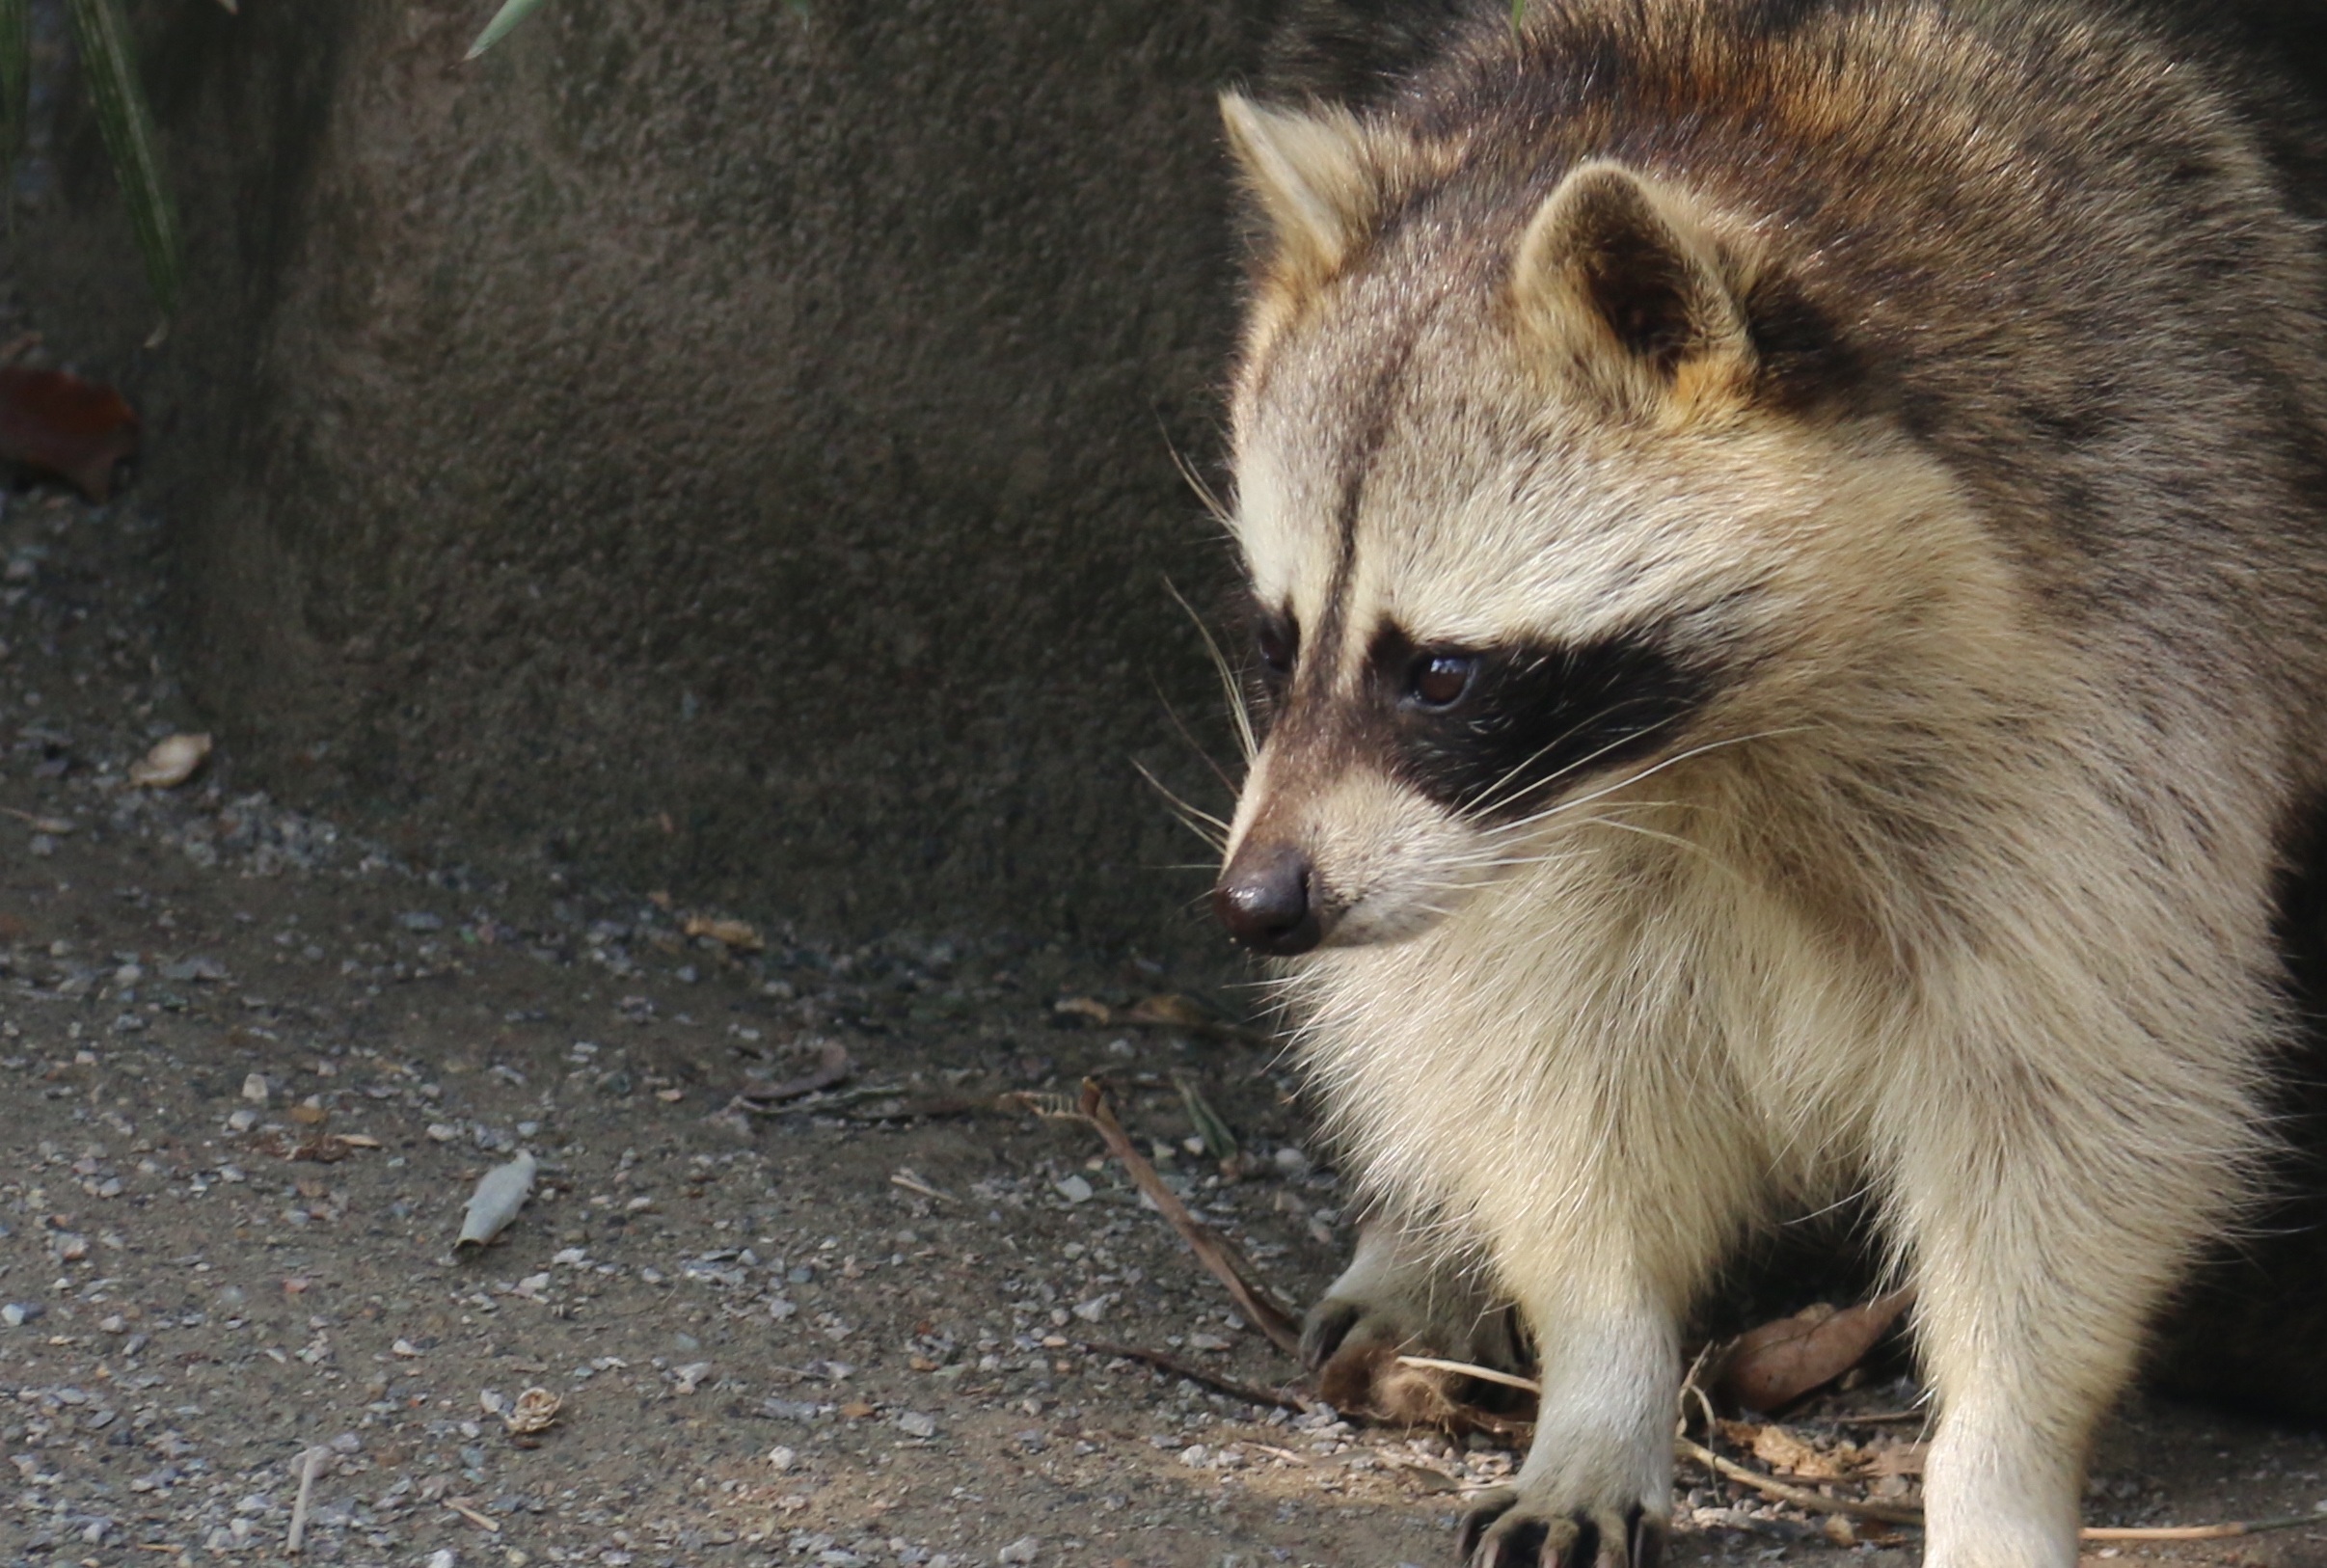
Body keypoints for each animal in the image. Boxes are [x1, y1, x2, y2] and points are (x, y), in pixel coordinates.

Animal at [1209, 3, 2327, 1563]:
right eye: (1279, 638)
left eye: (1440, 672)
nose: (1259, 902)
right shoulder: (1512, 845)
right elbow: (1541, 1071)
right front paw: (1599, 1376)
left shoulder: (2137, 656)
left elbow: (2078, 1101)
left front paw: (2000, 1456)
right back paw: (1422, 1229)